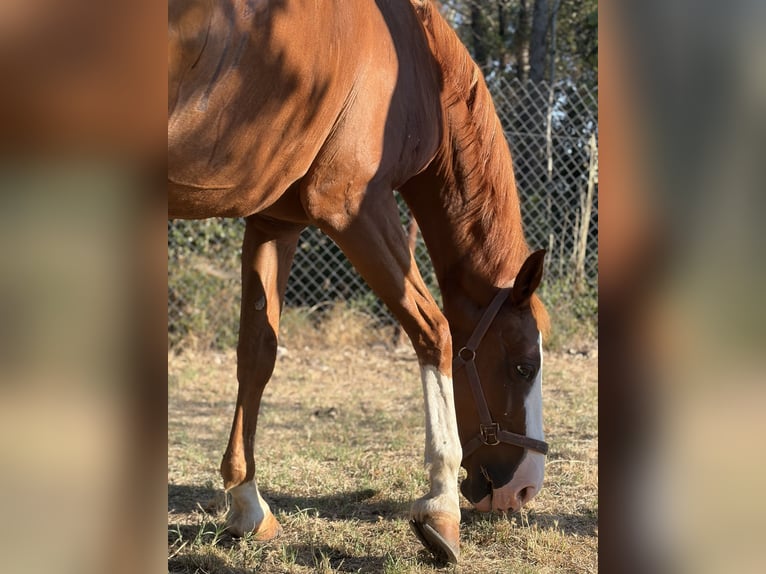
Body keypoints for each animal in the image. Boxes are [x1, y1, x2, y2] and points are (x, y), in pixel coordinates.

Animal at [168, 0, 551, 563]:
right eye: (524, 367)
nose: (524, 489)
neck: (419, 62)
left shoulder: (273, 223)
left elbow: (257, 354)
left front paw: (248, 504)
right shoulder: (352, 205)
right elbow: (434, 331)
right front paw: (440, 508)